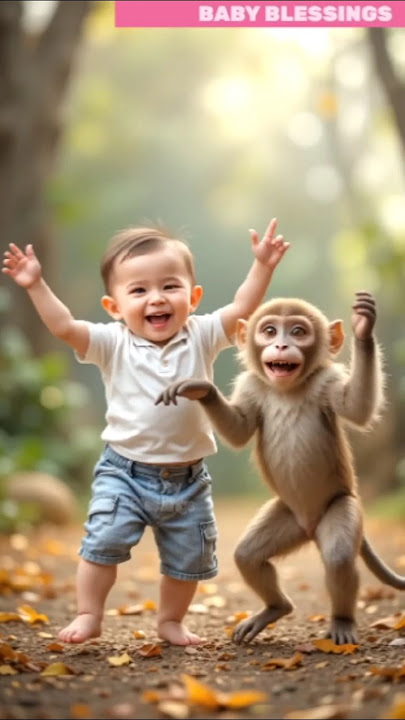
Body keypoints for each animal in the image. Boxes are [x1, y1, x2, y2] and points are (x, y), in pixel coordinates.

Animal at [156, 292, 405, 646]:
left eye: (298, 332)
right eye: (270, 330)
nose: (283, 345)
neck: (288, 388)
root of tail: (310, 526)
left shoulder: (326, 381)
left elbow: (356, 408)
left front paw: (363, 328)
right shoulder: (251, 386)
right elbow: (240, 430)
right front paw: (201, 390)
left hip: (340, 505)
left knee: (339, 557)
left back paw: (342, 620)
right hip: (288, 516)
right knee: (248, 555)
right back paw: (276, 608)